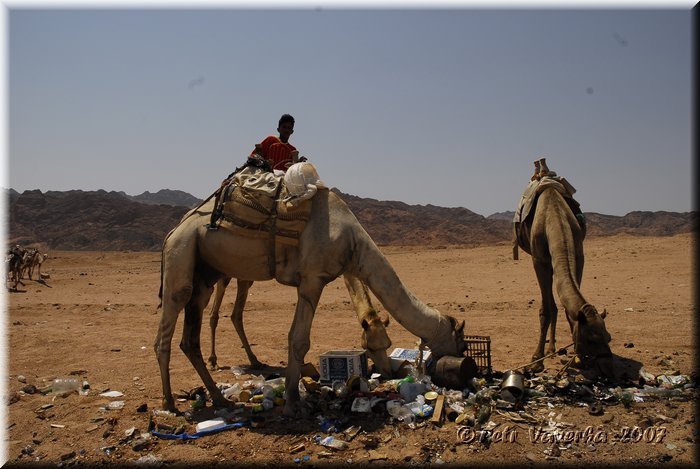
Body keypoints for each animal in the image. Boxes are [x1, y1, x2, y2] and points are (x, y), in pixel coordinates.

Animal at [156, 160, 468, 414]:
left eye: (387, 345)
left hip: (205, 273)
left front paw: (292, 397)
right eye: (460, 341)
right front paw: (293, 403)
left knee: (190, 338)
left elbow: (296, 338)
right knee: (169, 323)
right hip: (182, 253)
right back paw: (169, 403)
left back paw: (220, 399)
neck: (353, 246)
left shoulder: (313, 279)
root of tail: (173, 230)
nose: (467, 361)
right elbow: (299, 339)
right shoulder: (312, 278)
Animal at [516, 157, 612, 376]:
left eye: (609, 338)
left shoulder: (579, 256)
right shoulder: (539, 261)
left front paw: (577, 358)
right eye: (591, 340)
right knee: (551, 304)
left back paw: (552, 348)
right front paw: (536, 360)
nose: (608, 367)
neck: (553, 218)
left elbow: (569, 311)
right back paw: (548, 350)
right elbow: (545, 309)